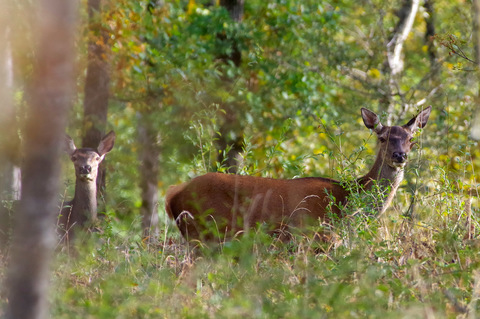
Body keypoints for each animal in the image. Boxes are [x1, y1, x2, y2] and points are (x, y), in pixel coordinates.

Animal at [165, 107, 432, 242]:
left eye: (411, 139)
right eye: (383, 138)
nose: (399, 155)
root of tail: (173, 195)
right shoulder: (312, 235)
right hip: (204, 231)